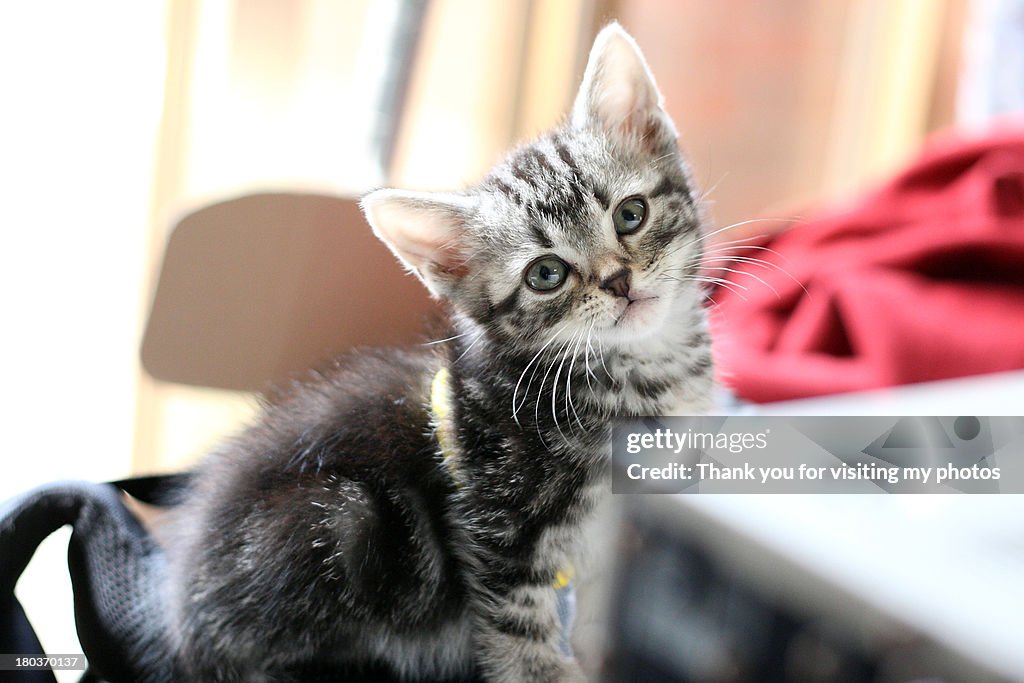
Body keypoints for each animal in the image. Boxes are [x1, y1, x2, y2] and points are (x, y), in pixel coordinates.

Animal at [165, 22, 712, 683]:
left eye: (631, 214)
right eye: (546, 274)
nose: (619, 281)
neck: (639, 371)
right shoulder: (500, 525)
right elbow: (522, 637)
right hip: (342, 519)